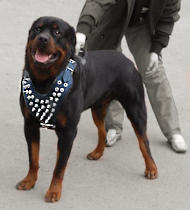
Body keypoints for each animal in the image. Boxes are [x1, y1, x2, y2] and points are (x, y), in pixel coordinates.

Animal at [16, 17, 157, 203]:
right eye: (37, 29)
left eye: (57, 32)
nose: (42, 39)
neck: (44, 81)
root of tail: (125, 59)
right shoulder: (30, 125)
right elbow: (33, 158)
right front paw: (29, 180)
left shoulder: (68, 132)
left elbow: (59, 167)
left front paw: (54, 191)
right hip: (98, 108)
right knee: (102, 130)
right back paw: (97, 152)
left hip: (136, 108)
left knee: (143, 141)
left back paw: (151, 168)